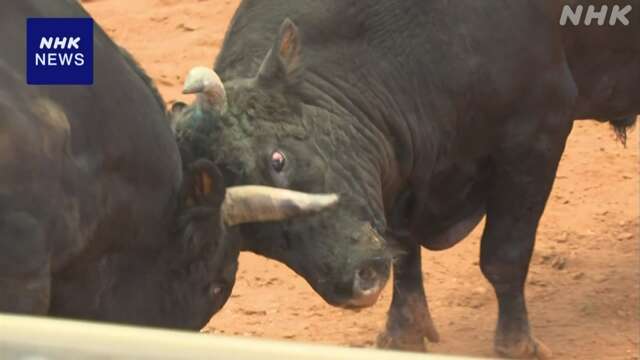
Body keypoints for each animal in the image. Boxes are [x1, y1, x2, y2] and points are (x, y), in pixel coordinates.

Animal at [172, 0, 636, 358]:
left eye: (278, 159)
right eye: (250, 238)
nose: (356, 283)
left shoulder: (537, 134)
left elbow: (503, 255)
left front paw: (517, 345)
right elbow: (403, 250)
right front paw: (404, 332)